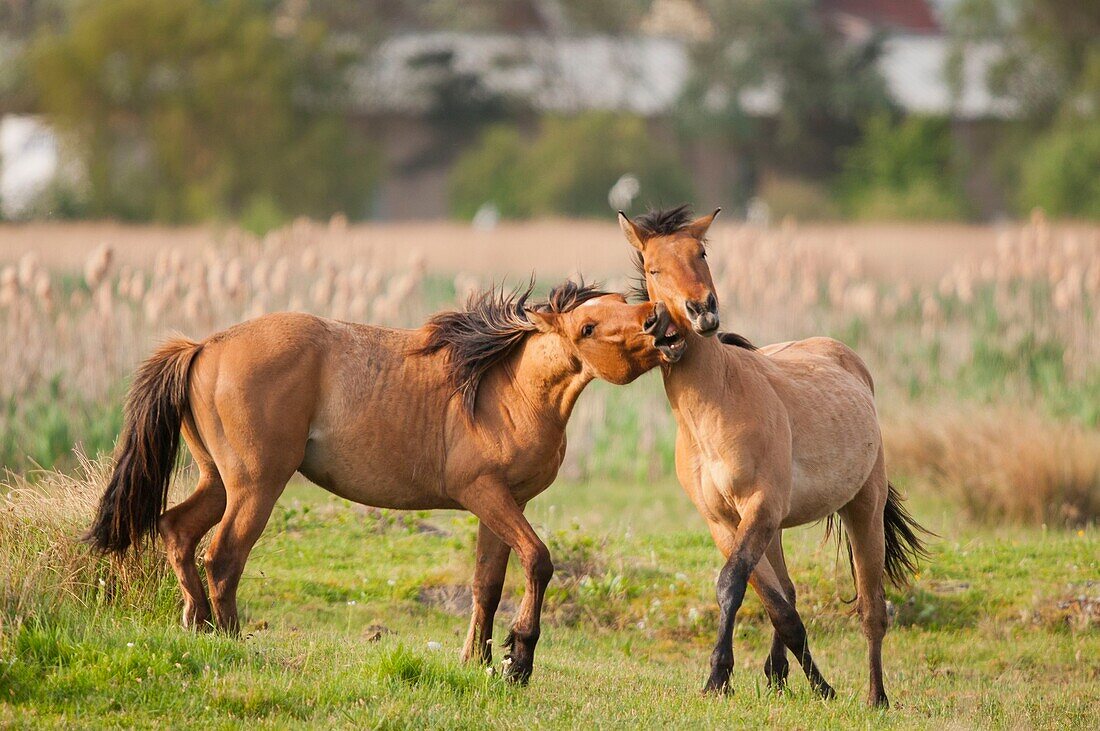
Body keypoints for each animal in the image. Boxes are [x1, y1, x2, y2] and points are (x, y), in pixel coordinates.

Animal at [88, 280, 686, 685]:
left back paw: (198, 628)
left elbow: (486, 585)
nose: (662, 322)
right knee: (223, 557)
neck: (509, 389)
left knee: (177, 531)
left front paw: (477, 662)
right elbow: (538, 561)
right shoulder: (487, 495)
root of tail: (203, 347)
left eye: (625, 302)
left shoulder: (500, 505)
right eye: (587, 327)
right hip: (256, 487)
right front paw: (518, 659)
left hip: (219, 483)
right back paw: (235, 643)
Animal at [620, 202, 928, 703]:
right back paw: (781, 675)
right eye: (652, 268)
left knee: (872, 610)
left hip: (862, 508)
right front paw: (780, 680)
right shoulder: (725, 522)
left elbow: (732, 583)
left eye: (701, 252)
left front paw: (720, 676)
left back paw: (876, 697)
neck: (716, 408)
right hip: (779, 529)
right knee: (789, 591)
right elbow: (774, 604)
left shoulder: (760, 508)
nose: (701, 311)